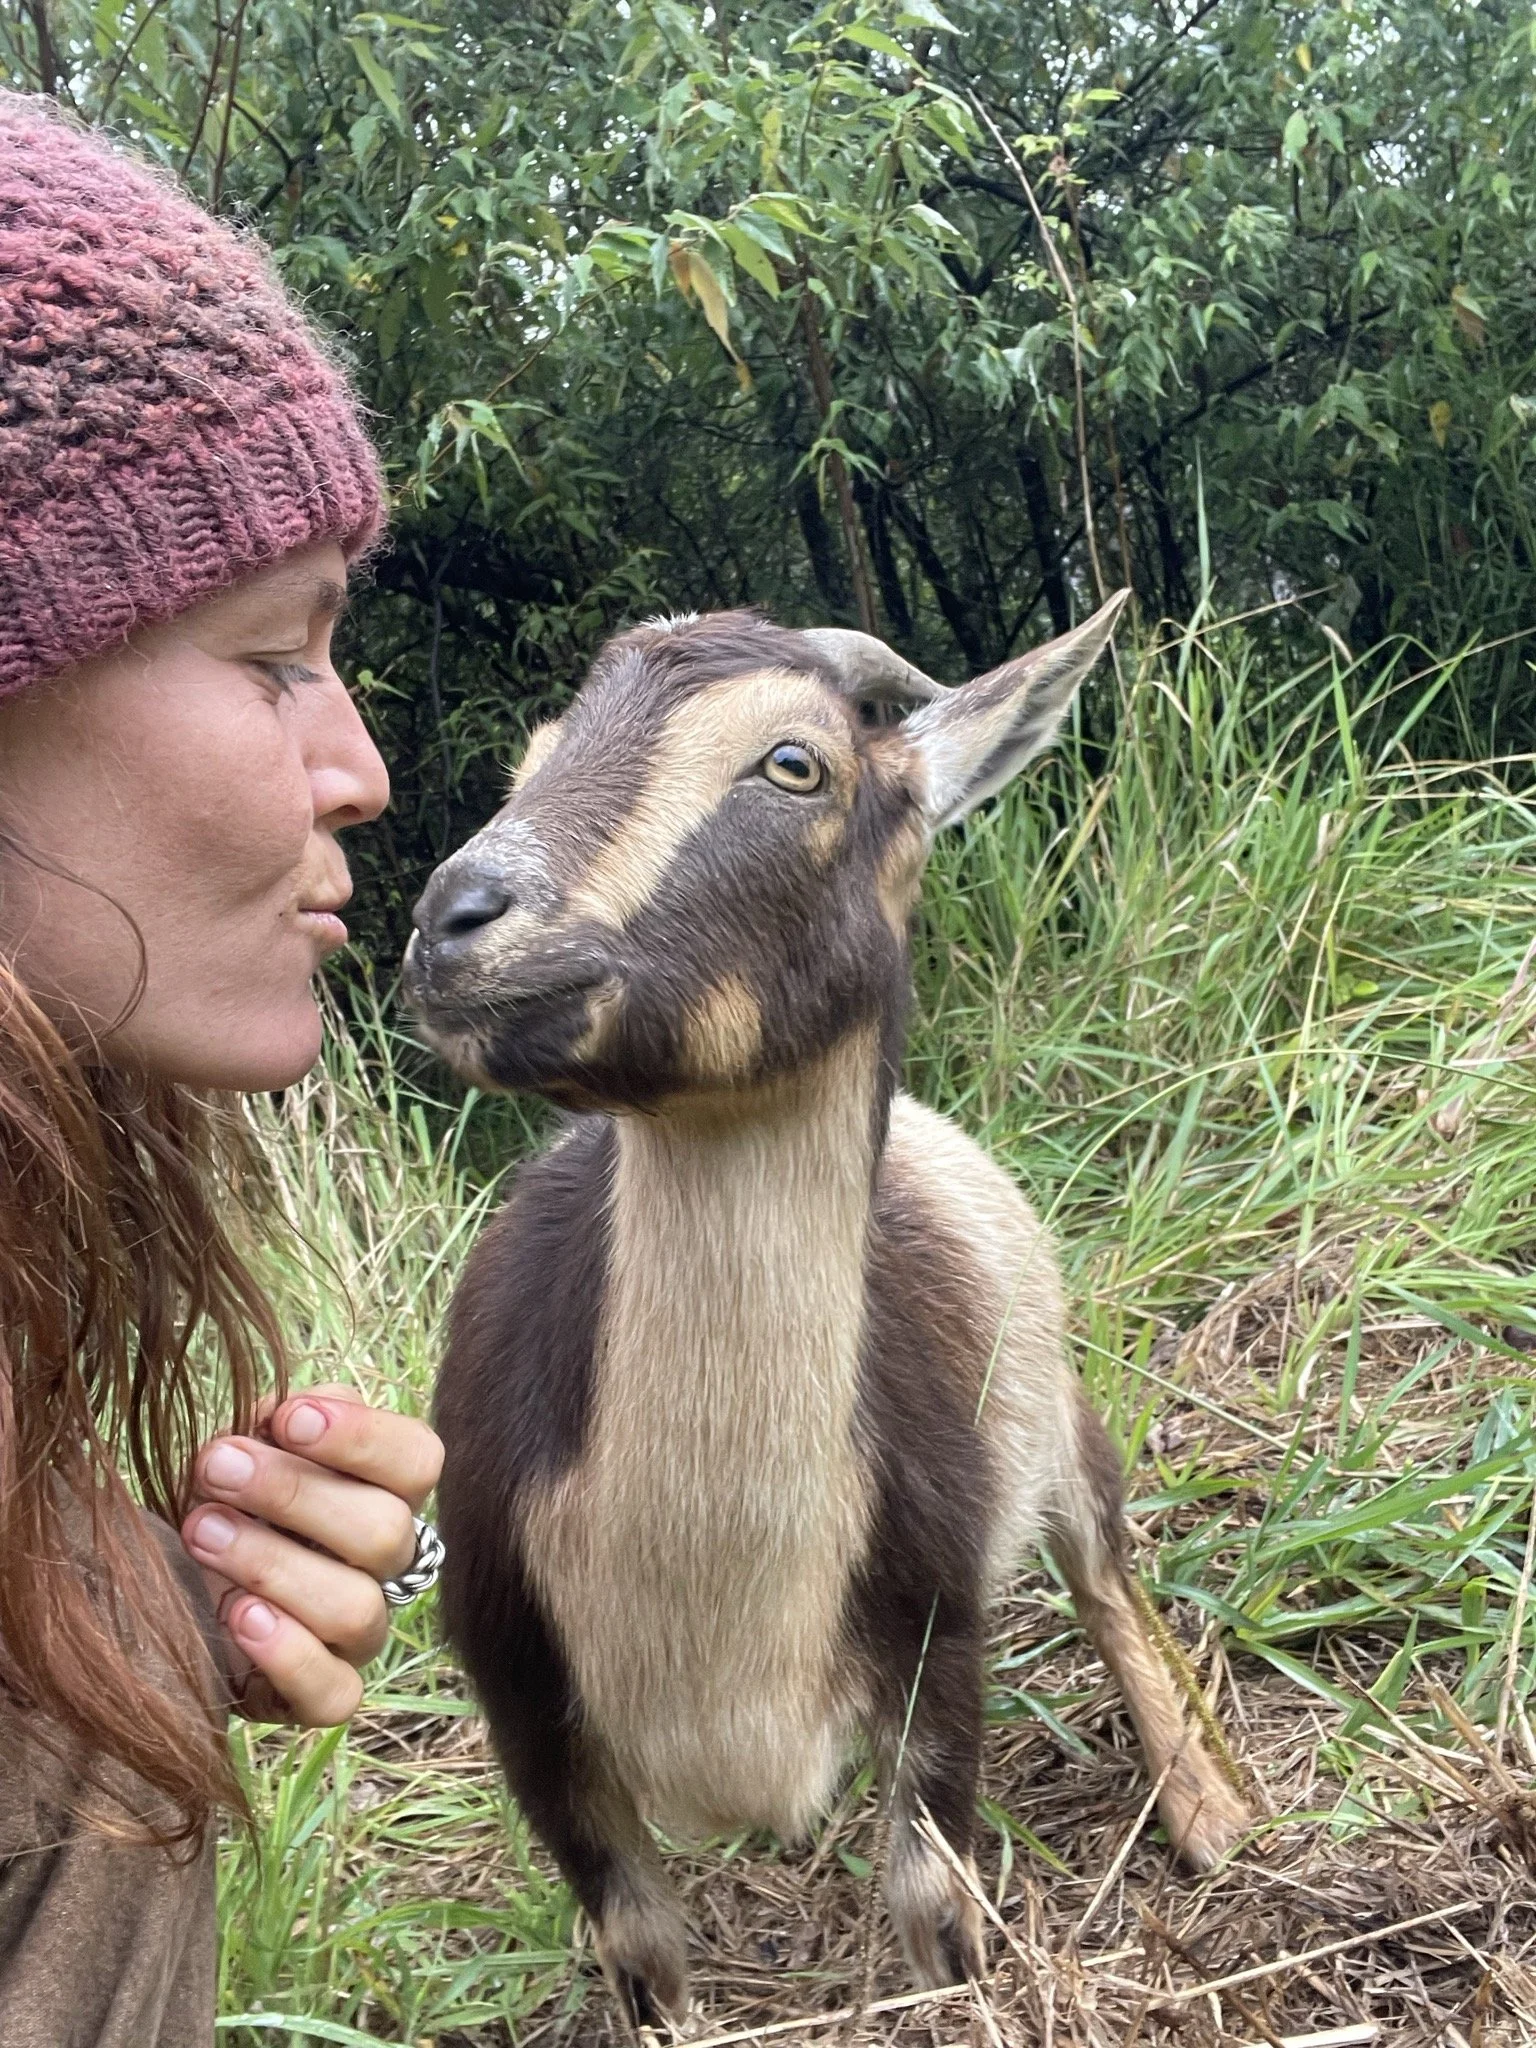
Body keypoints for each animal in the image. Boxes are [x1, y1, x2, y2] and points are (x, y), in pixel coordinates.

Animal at [405, 595, 1248, 2028]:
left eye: (795, 762)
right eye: (532, 754)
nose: (452, 919)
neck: (712, 1606)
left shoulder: (938, 1642)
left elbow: (938, 1916)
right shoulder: (525, 1704)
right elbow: (642, 1955)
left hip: (1053, 1393)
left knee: (1104, 1565)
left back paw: (1210, 1812)